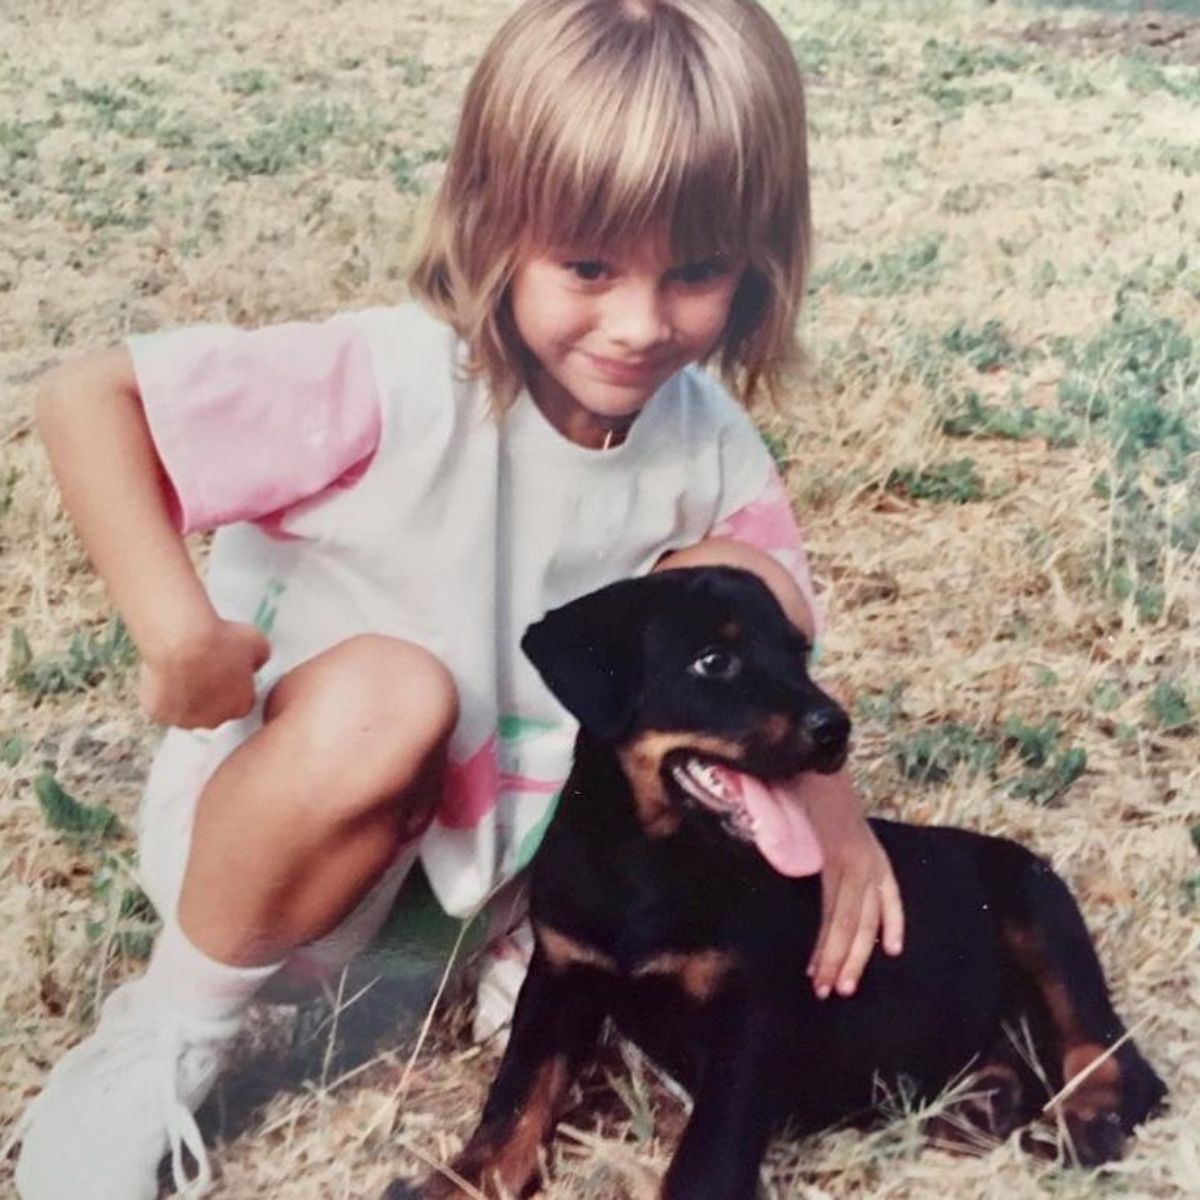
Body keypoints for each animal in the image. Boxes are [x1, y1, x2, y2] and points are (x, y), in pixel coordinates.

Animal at [388, 564, 1166, 1200]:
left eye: (797, 652)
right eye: (715, 661)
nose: (835, 729)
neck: (648, 859)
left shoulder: (747, 1020)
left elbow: (704, 1165)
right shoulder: (558, 976)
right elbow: (515, 1102)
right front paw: (458, 1183)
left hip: (1040, 910)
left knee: (1110, 1056)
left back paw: (1082, 1122)